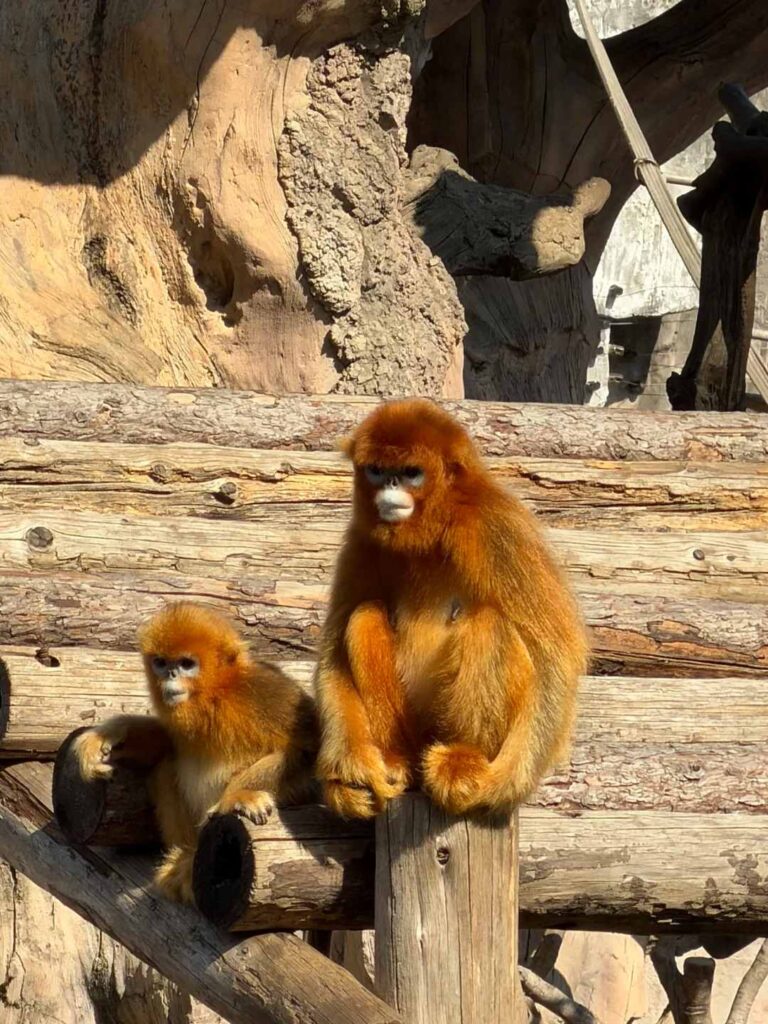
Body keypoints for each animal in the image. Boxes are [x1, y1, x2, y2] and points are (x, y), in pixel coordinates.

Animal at [72, 602, 318, 902]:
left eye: (186, 664)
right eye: (161, 663)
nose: (171, 675)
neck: (216, 697)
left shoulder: (263, 690)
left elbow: (312, 753)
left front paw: (236, 796)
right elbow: (166, 743)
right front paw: (110, 733)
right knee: (166, 762)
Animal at [314, 398, 588, 820]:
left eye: (410, 473)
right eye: (377, 470)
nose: (390, 486)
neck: (434, 530)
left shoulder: (493, 523)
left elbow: (555, 654)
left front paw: (503, 785)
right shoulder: (362, 538)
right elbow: (331, 652)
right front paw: (350, 773)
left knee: (489, 622)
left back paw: (464, 758)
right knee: (364, 617)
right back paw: (395, 761)